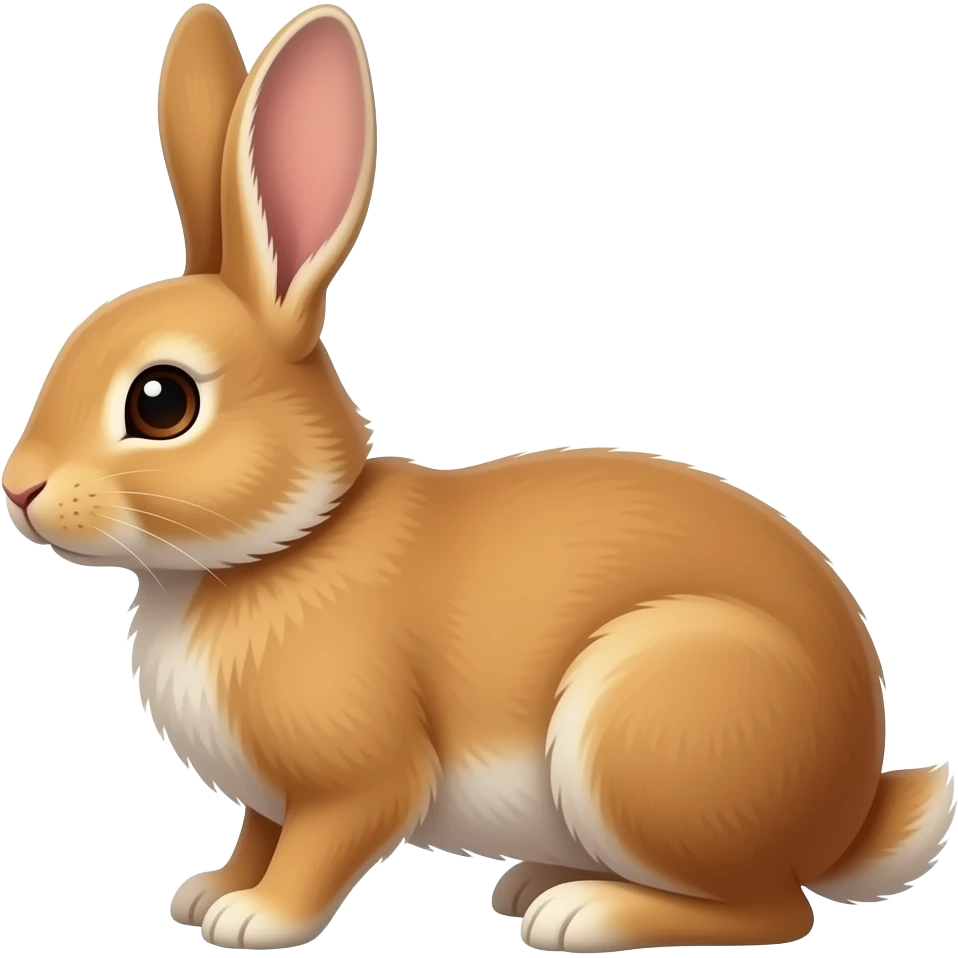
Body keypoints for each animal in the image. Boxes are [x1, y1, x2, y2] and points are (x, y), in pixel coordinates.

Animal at [3, 3, 954, 952]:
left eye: (162, 401)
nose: (20, 488)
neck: (280, 546)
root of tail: (849, 812)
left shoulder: (357, 776)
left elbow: (318, 847)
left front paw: (256, 919)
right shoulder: (269, 799)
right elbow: (259, 836)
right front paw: (209, 893)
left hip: (648, 726)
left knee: (773, 909)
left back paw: (580, 912)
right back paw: (539, 881)